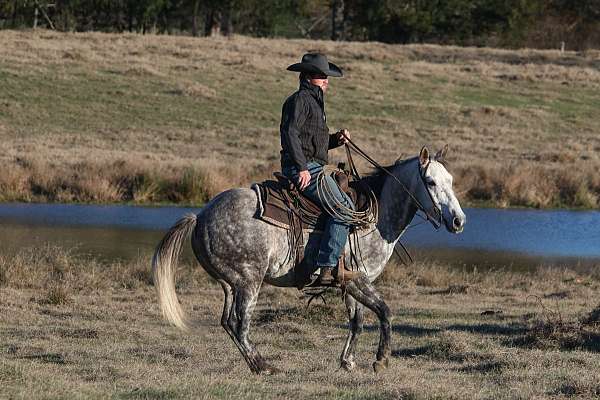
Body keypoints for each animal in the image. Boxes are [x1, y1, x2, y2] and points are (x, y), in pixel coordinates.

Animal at [152, 147, 466, 376]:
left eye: (451, 181)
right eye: (430, 182)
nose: (458, 221)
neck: (374, 219)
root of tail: (200, 216)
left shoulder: (350, 283)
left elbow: (357, 322)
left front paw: (348, 362)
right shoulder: (360, 280)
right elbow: (385, 312)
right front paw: (381, 360)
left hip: (229, 284)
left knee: (228, 323)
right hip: (249, 282)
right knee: (240, 325)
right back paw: (263, 366)